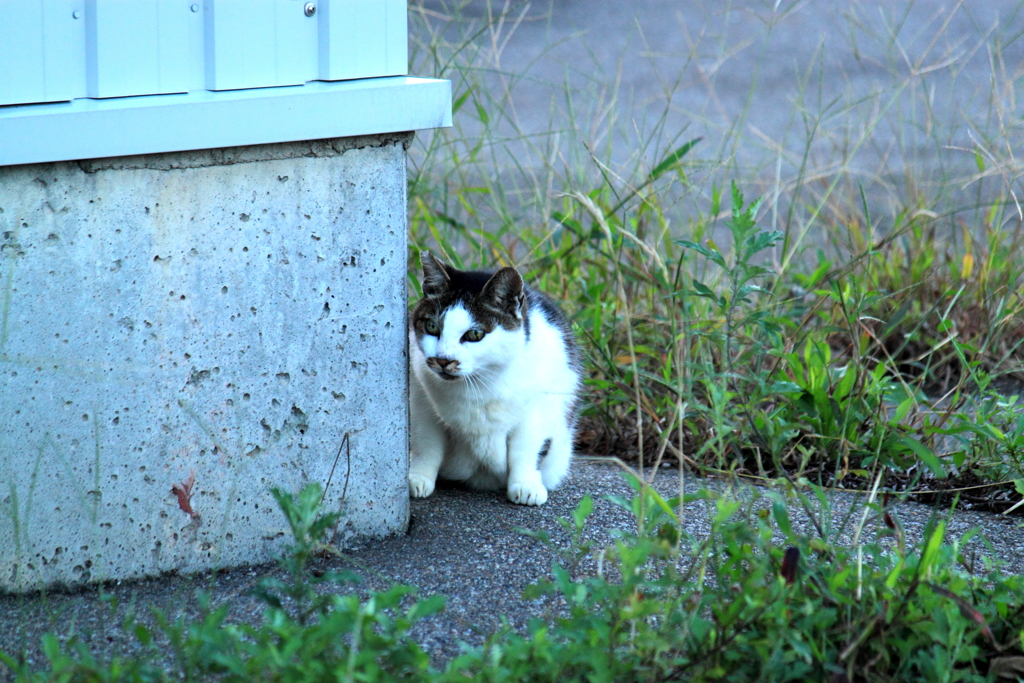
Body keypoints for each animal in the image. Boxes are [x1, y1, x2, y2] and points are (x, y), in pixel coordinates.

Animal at [409, 253, 585, 505]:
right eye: (432, 326)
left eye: (475, 334)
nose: (443, 360)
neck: (478, 383)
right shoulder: (420, 400)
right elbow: (427, 445)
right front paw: (418, 478)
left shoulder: (539, 408)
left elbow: (526, 449)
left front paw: (526, 485)